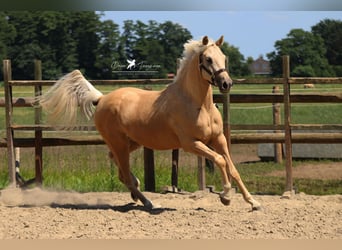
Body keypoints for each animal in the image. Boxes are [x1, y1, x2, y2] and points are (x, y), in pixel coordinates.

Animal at [38, 35, 260, 211]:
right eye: (208, 58)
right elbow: (221, 161)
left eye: (223, 57)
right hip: (119, 143)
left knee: (119, 168)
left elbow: (232, 168)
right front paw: (226, 197)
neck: (198, 105)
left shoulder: (218, 139)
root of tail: (101, 99)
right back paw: (150, 203)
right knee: (125, 175)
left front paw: (253, 203)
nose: (226, 84)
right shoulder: (191, 144)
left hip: (131, 142)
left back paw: (138, 195)